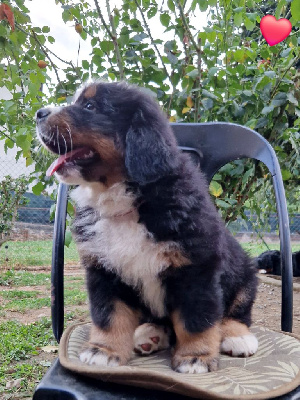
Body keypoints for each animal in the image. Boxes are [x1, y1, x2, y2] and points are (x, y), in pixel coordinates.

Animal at [36, 79, 258, 374]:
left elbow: (196, 319)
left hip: (244, 273)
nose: (38, 114)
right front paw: (104, 351)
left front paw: (195, 357)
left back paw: (237, 337)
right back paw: (150, 334)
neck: (127, 203)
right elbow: (109, 315)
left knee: (235, 312)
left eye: (90, 106)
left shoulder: (196, 268)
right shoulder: (104, 270)